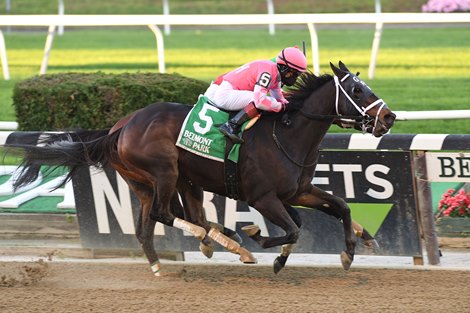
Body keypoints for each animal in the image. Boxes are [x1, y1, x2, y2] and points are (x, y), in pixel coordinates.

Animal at [8, 62, 396, 274]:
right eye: (357, 91)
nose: (389, 117)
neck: (287, 133)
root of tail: (120, 127)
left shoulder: (298, 191)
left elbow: (339, 207)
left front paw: (350, 250)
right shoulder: (263, 198)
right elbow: (292, 230)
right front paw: (259, 238)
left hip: (157, 182)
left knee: (151, 226)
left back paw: (170, 259)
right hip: (165, 173)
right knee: (166, 215)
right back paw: (218, 239)